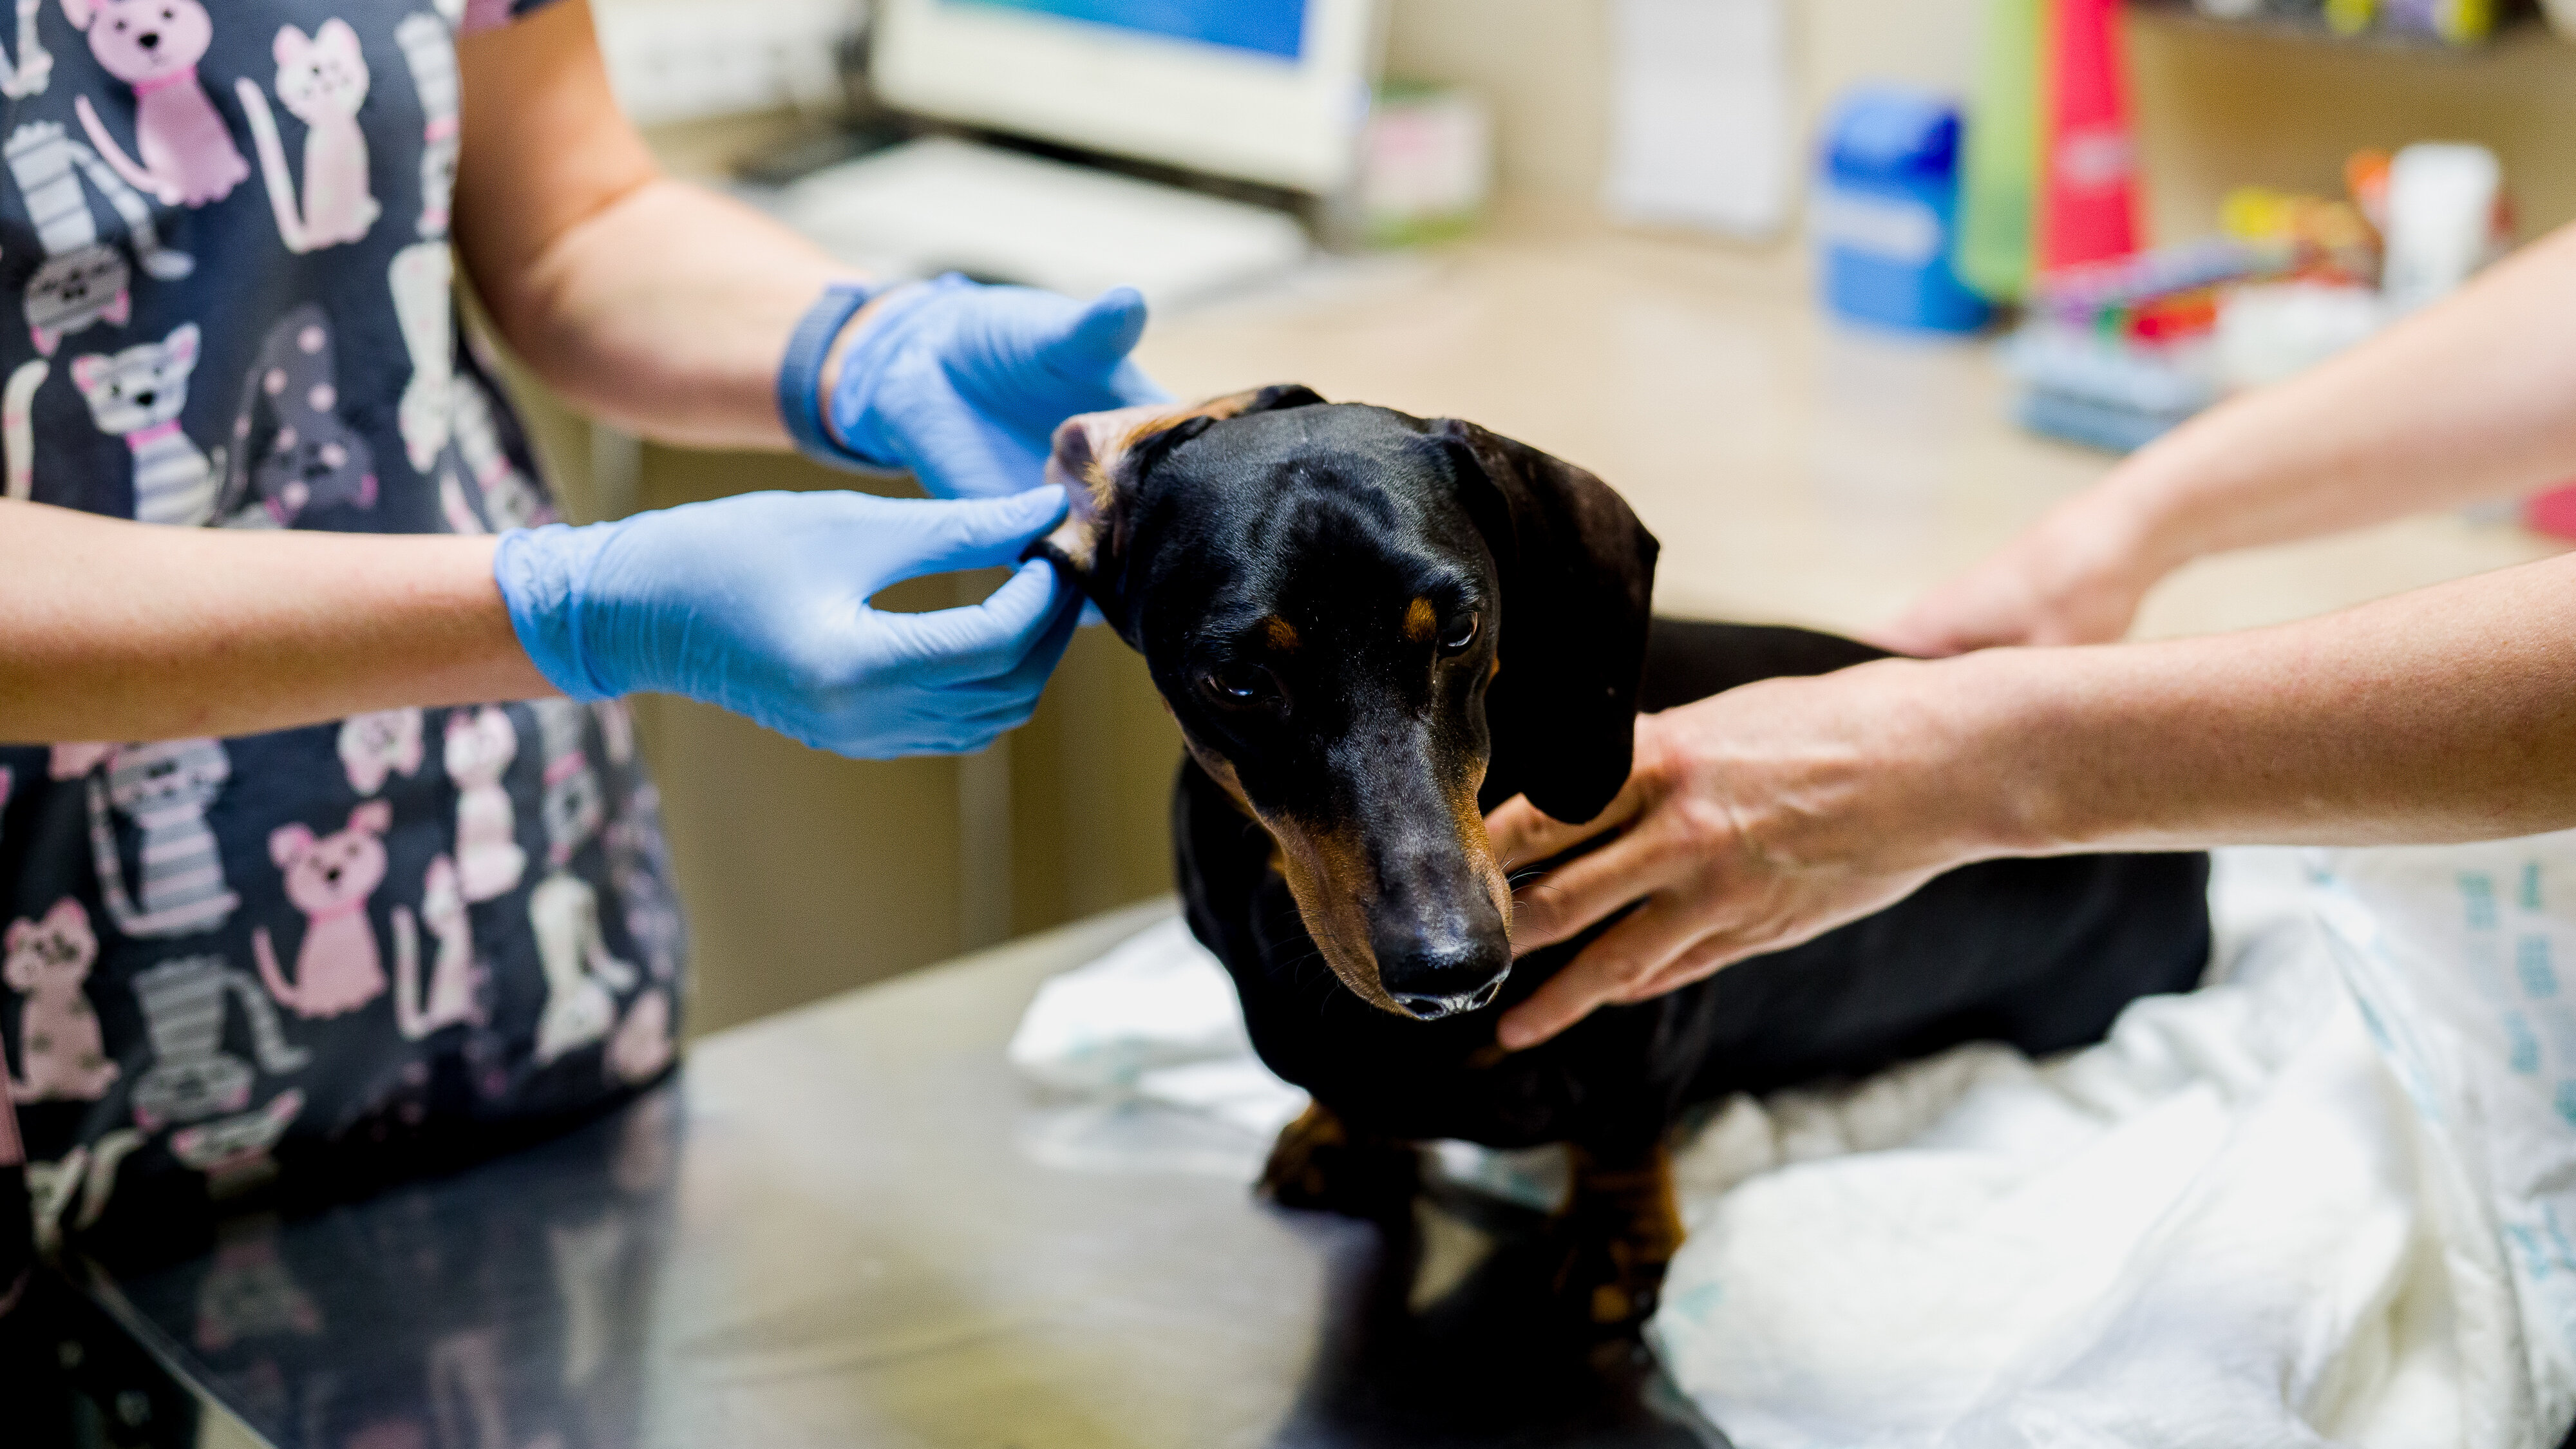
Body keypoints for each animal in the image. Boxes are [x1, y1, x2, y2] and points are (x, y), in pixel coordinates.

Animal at [1036, 384, 2205, 1330]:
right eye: (1238, 681)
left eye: (1460, 627)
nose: (1454, 971)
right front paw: (1342, 1131)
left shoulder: (1654, 990)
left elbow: (1621, 1126)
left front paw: (1613, 1247)